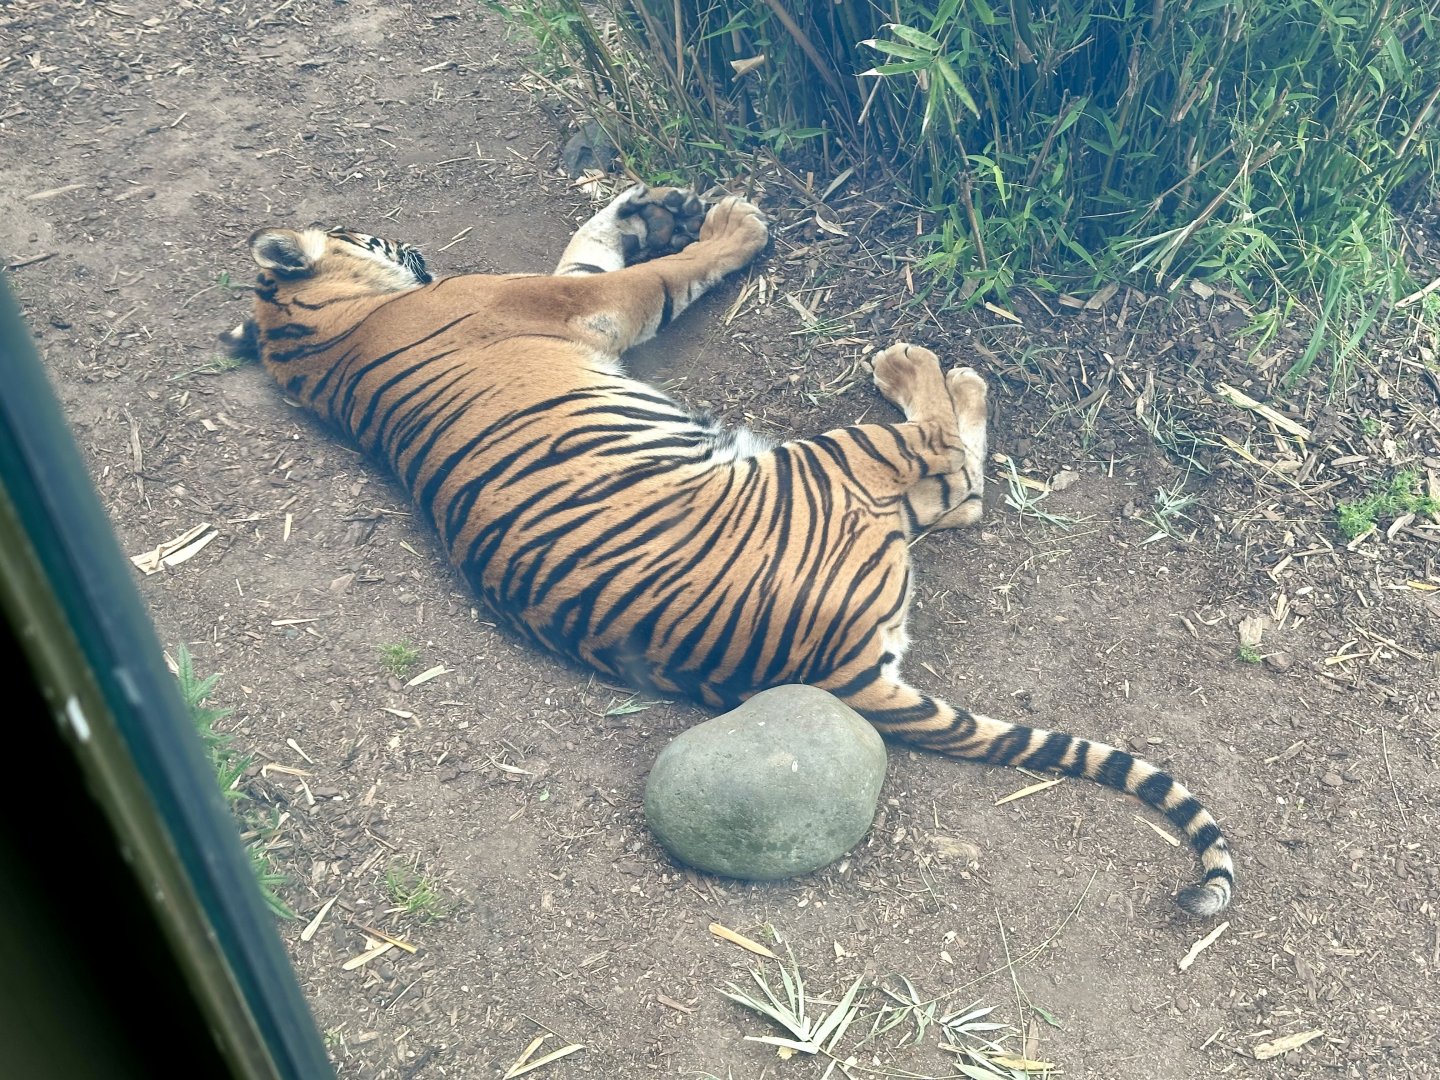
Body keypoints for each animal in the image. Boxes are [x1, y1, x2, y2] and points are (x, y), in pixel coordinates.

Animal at [222, 183, 1234, 917]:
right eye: (361, 231)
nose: (416, 249)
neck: (314, 340)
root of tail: (841, 673)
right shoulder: (583, 299)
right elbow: (662, 269)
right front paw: (734, 225)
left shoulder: (573, 284)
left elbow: (592, 238)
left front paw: (643, 203)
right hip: (835, 464)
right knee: (952, 475)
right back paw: (926, 366)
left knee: (957, 496)